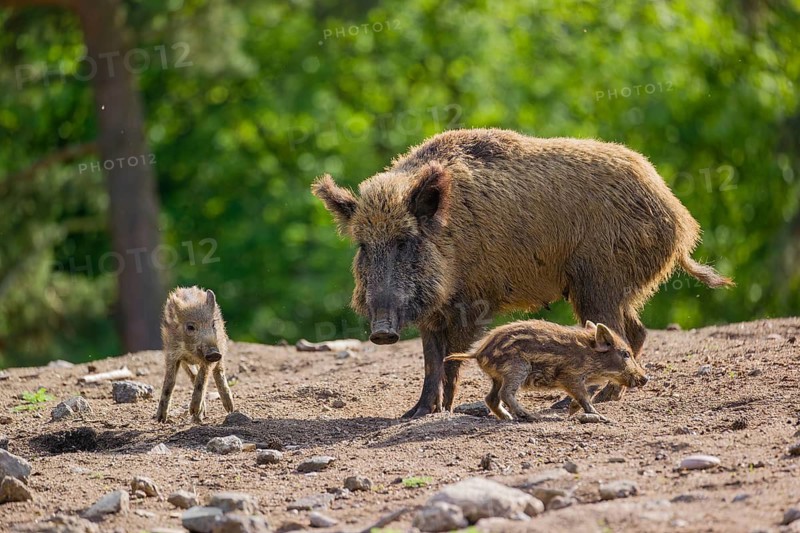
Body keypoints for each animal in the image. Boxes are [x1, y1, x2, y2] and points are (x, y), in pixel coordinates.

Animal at [155, 286, 234, 423]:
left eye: (213, 324)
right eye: (190, 327)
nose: (214, 353)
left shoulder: (211, 357)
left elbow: (202, 379)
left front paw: (193, 410)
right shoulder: (172, 355)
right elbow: (170, 382)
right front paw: (160, 419)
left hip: (221, 347)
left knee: (218, 372)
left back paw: (230, 409)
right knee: (193, 376)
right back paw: (200, 415)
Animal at [444, 320, 648, 423]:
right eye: (625, 354)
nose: (646, 378)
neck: (589, 355)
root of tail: (479, 353)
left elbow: (584, 395)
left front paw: (571, 412)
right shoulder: (570, 376)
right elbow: (584, 397)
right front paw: (602, 417)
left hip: (497, 377)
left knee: (491, 398)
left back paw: (507, 417)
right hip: (517, 368)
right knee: (505, 393)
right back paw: (528, 415)